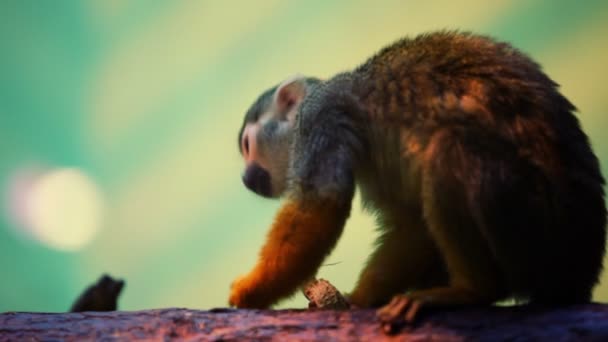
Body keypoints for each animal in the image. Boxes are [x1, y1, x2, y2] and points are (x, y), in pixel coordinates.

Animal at [230, 30, 604, 328]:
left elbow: (321, 204)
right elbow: (412, 225)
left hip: (531, 219)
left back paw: (472, 290)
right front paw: (359, 299)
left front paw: (251, 292)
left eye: (248, 146)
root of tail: (581, 272)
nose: (246, 177)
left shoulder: (321, 118)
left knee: (448, 149)